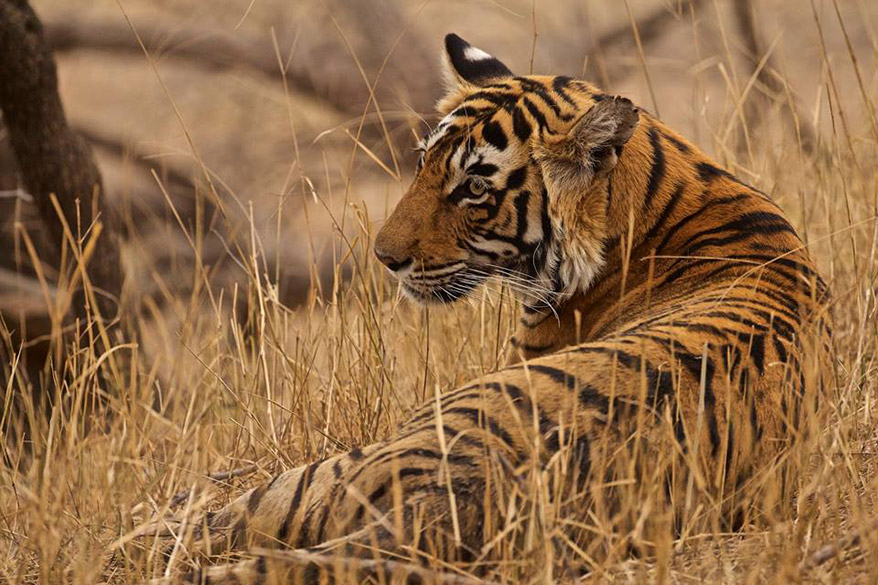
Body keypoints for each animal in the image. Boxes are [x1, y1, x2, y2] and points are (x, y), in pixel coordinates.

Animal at [155, 34, 836, 580]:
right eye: (423, 162)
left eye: (475, 188)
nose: (384, 258)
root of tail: (445, 506)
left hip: (350, 460)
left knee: (205, 522)